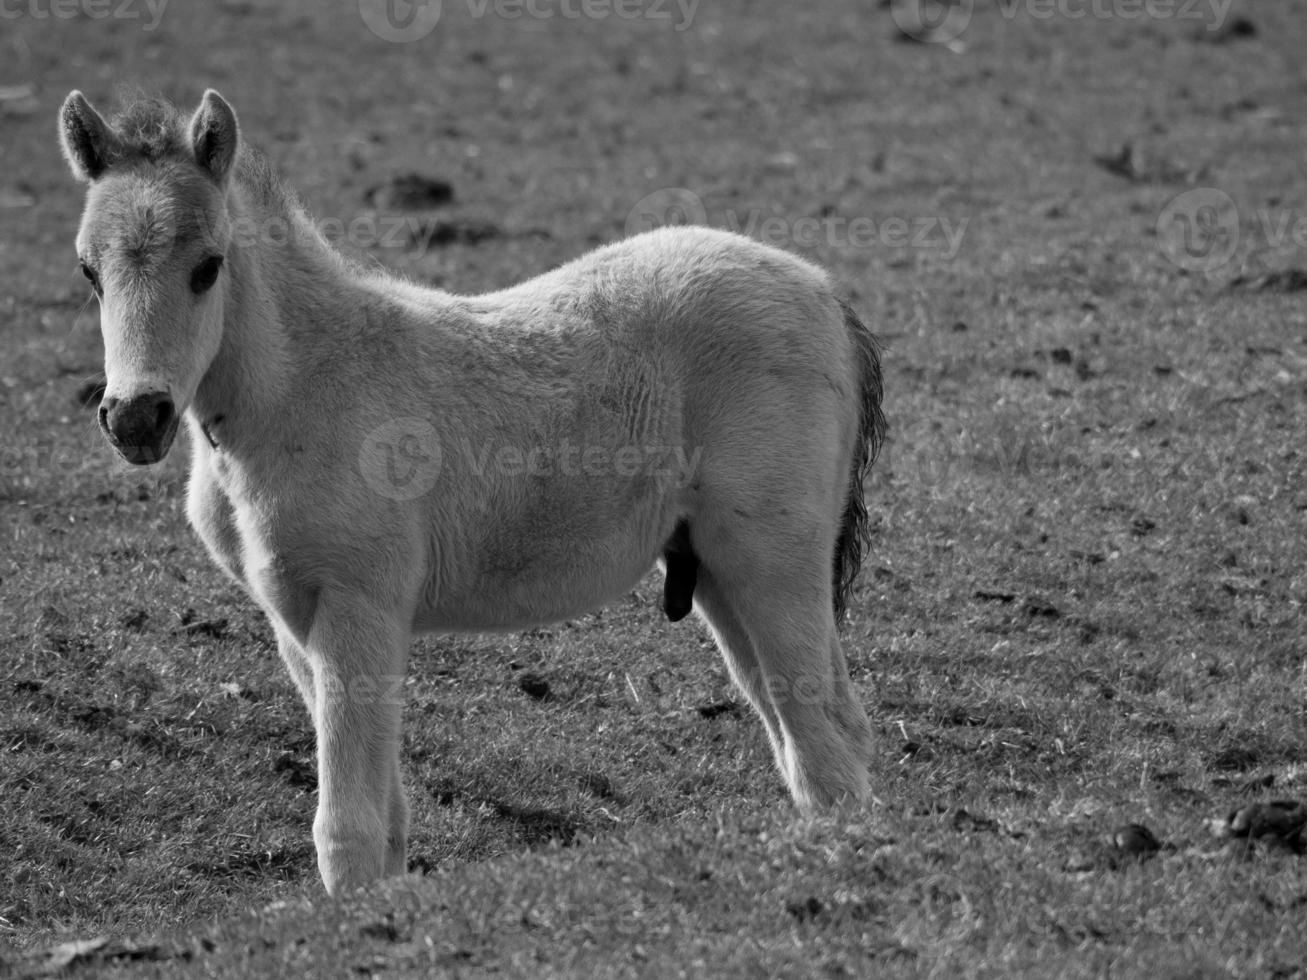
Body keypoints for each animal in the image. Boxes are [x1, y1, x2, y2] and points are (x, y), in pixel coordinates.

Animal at [56, 90, 883, 898]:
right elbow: (386, 812)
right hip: (715, 572)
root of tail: (822, 291)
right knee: (808, 726)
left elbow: (348, 823)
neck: (303, 391)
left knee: (823, 734)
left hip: (770, 560)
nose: (135, 418)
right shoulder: (294, 619)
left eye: (208, 266)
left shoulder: (359, 607)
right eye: (89, 272)